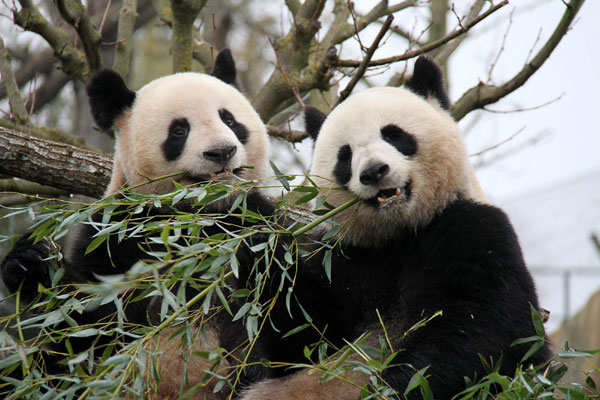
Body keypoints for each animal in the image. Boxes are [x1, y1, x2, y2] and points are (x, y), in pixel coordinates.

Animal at [0, 48, 274, 398]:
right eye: (179, 131)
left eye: (229, 120)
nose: (221, 152)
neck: (196, 214)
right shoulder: (117, 234)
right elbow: (89, 327)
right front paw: (31, 263)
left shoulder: (257, 220)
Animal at [237, 55, 552, 396]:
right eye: (345, 156)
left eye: (393, 134)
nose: (374, 171)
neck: (401, 232)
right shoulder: (347, 259)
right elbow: (298, 332)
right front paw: (242, 218)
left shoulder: (475, 230)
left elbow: (490, 330)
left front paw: (391, 386)